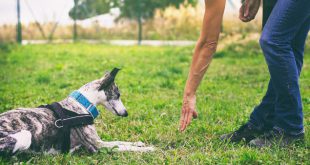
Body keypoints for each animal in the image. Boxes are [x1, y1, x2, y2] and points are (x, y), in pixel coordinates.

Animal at [0, 67, 154, 155]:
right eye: (118, 94)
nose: (126, 113)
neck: (81, 104)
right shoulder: (97, 145)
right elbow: (122, 146)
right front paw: (148, 149)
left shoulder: (99, 141)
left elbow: (122, 142)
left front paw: (139, 143)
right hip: (25, 135)